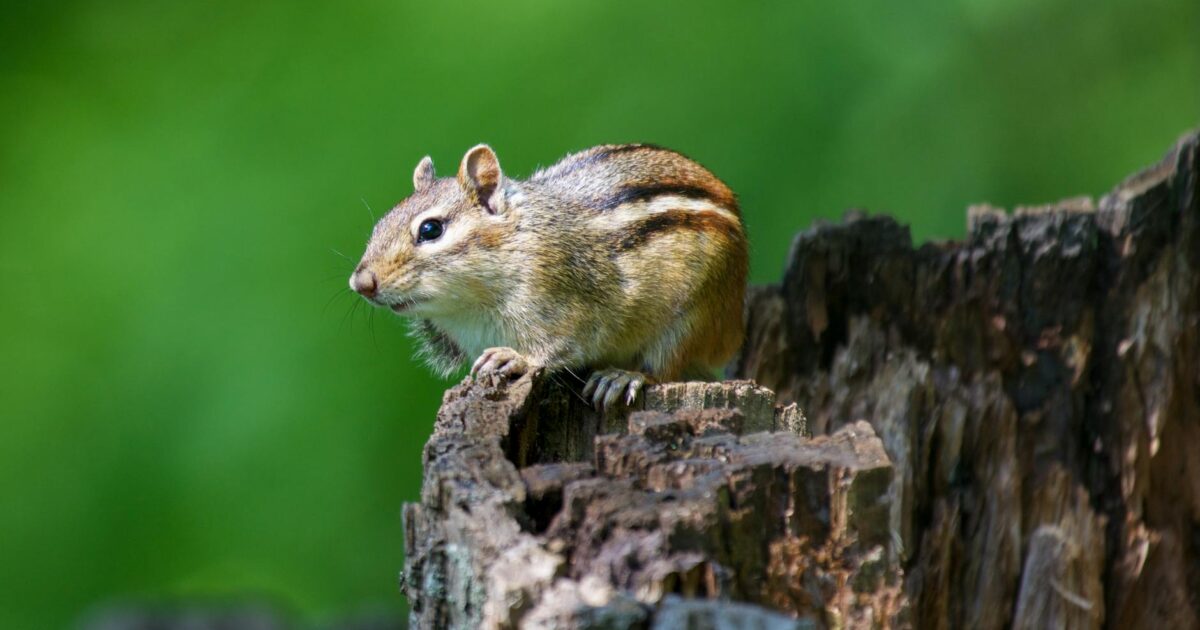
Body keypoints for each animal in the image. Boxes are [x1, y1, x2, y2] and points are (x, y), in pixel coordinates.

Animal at [349, 143, 748, 410]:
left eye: (430, 229)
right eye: (380, 223)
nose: (361, 283)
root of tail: (731, 333)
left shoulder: (570, 307)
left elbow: (559, 346)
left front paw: (515, 359)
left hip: (694, 315)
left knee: (665, 367)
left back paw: (623, 376)